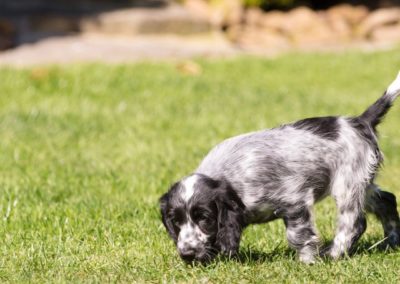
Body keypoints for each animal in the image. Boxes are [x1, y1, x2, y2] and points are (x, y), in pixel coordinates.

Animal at [159, 71, 400, 264]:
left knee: (354, 223)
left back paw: (333, 253)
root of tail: (360, 121)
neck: (230, 177)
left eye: (204, 218)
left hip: (347, 185)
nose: (187, 254)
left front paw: (307, 262)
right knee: (387, 200)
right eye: (176, 221)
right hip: (363, 183)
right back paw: (392, 242)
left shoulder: (294, 201)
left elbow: (299, 235)